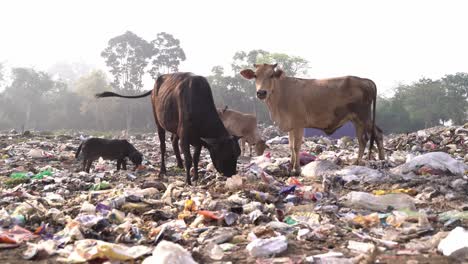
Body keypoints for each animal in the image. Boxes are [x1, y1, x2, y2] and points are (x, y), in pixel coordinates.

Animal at [95, 71, 241, 185]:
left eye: (237, 154)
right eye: (225, 154)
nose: (231, 174)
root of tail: (155, 87)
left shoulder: (198, 140)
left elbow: (195, 158)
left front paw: (195, 176)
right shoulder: (185, 138)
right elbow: (189, 159)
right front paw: (188, 181)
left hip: (174, 127)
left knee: (173, 140)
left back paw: (179, 164)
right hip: (159, 122)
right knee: (163, 146)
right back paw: (163, 171)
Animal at [239, 64, 386, 175]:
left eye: (271, 75)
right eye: (255, 75)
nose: (261, 92)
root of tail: (364, 80)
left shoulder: (299, 124)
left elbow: (296, 147)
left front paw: (297, 169)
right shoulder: (291, 125)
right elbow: (290, 146)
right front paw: (290, 166)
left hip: (364, 117)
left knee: (377, 134)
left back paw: (382, 160)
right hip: (357, 120)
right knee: (363, 140)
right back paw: (358, 162)